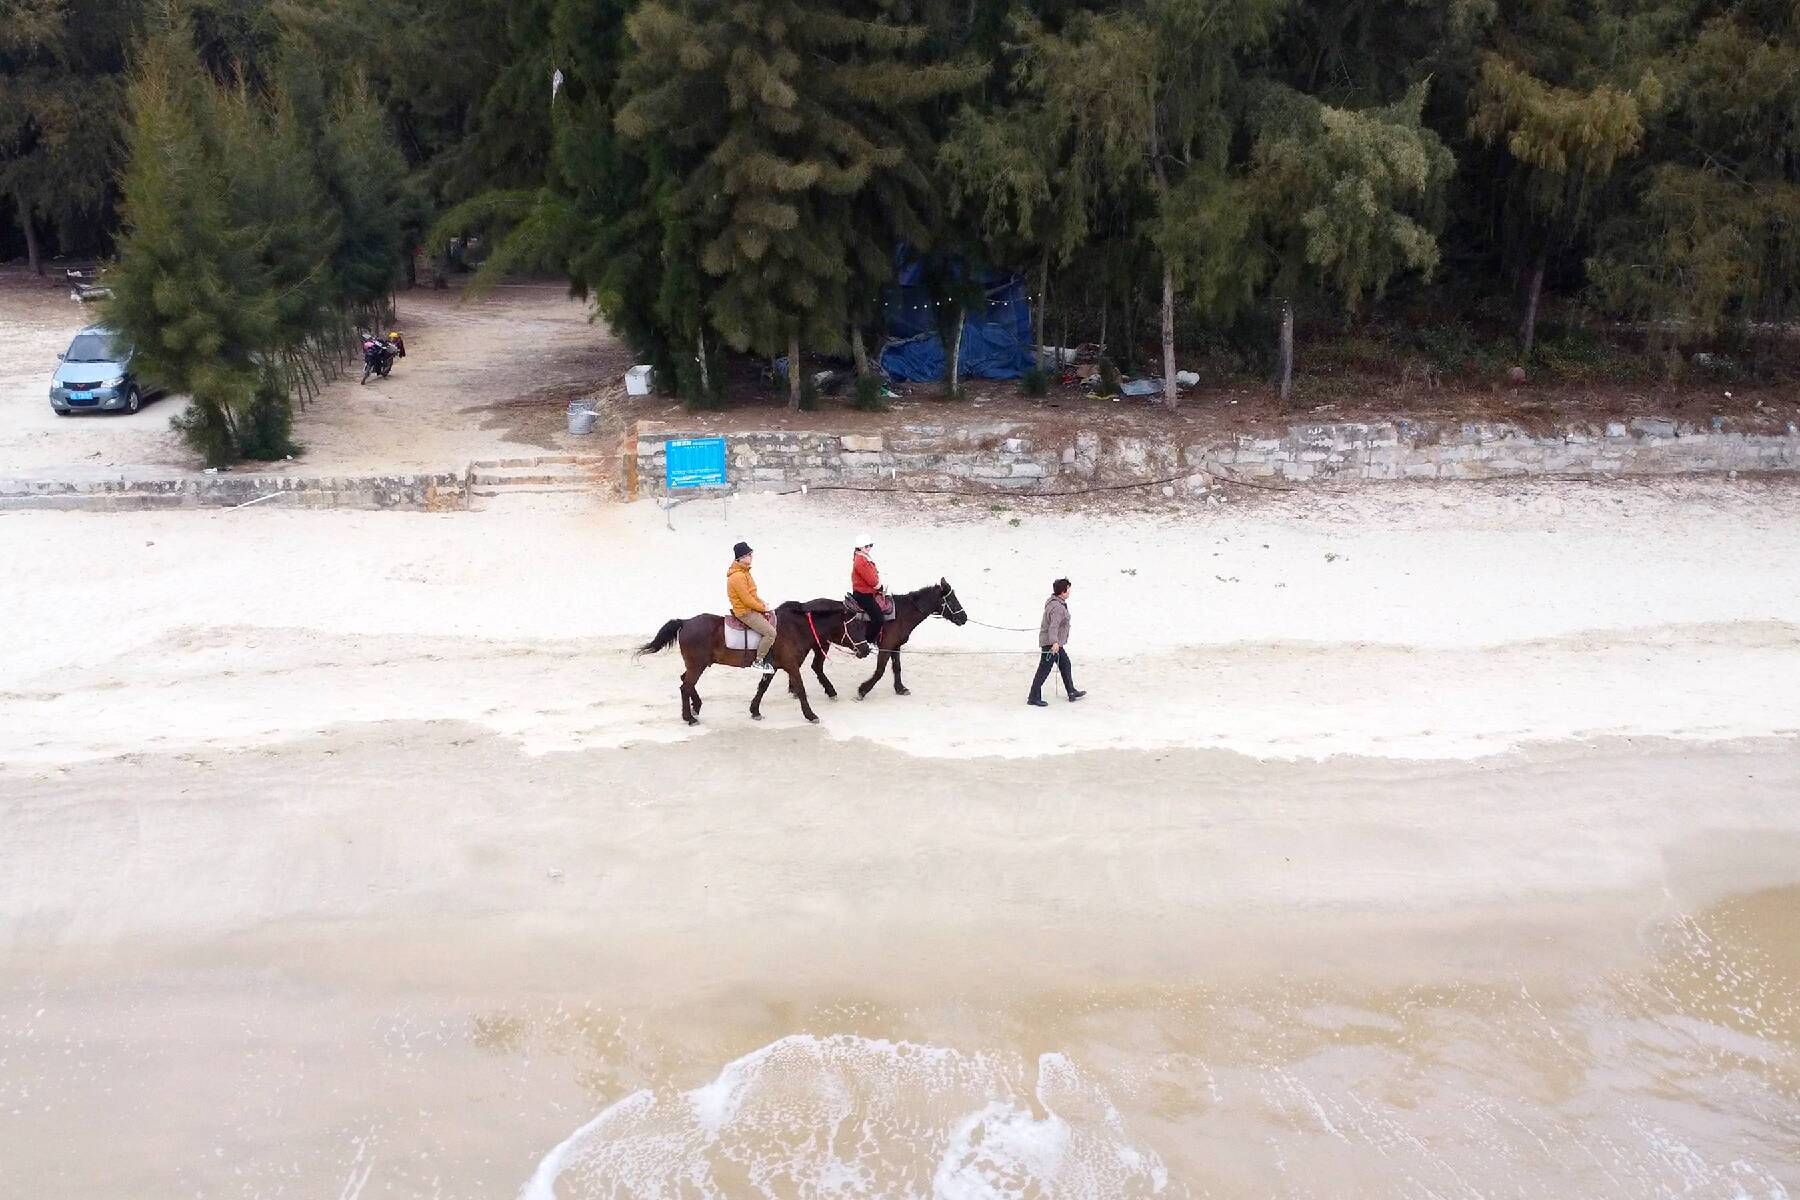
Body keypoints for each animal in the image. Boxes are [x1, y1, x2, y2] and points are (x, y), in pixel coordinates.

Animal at [640, 597, 871, 723]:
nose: (866, 649)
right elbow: (801, 689)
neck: (795, 628)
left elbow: (762, 687)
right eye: (856, 626)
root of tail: (685, 622)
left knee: (685, 682)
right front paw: (810, 715)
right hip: (697, 665)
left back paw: (695, 706)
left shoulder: (773, 667)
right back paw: (689, 717)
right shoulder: (791, 666)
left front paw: (755, 710)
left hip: (697, 665)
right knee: (685, 686)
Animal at [806, 575, 964, 698]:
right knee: (816, 666)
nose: (964, 617)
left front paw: (900, 688)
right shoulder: (886, 646)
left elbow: (897, 667)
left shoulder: (895, 646)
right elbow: (880, 670)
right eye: (951, 600)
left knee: (815, 666)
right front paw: (863, 690)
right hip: (822, 644)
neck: (902, 613)